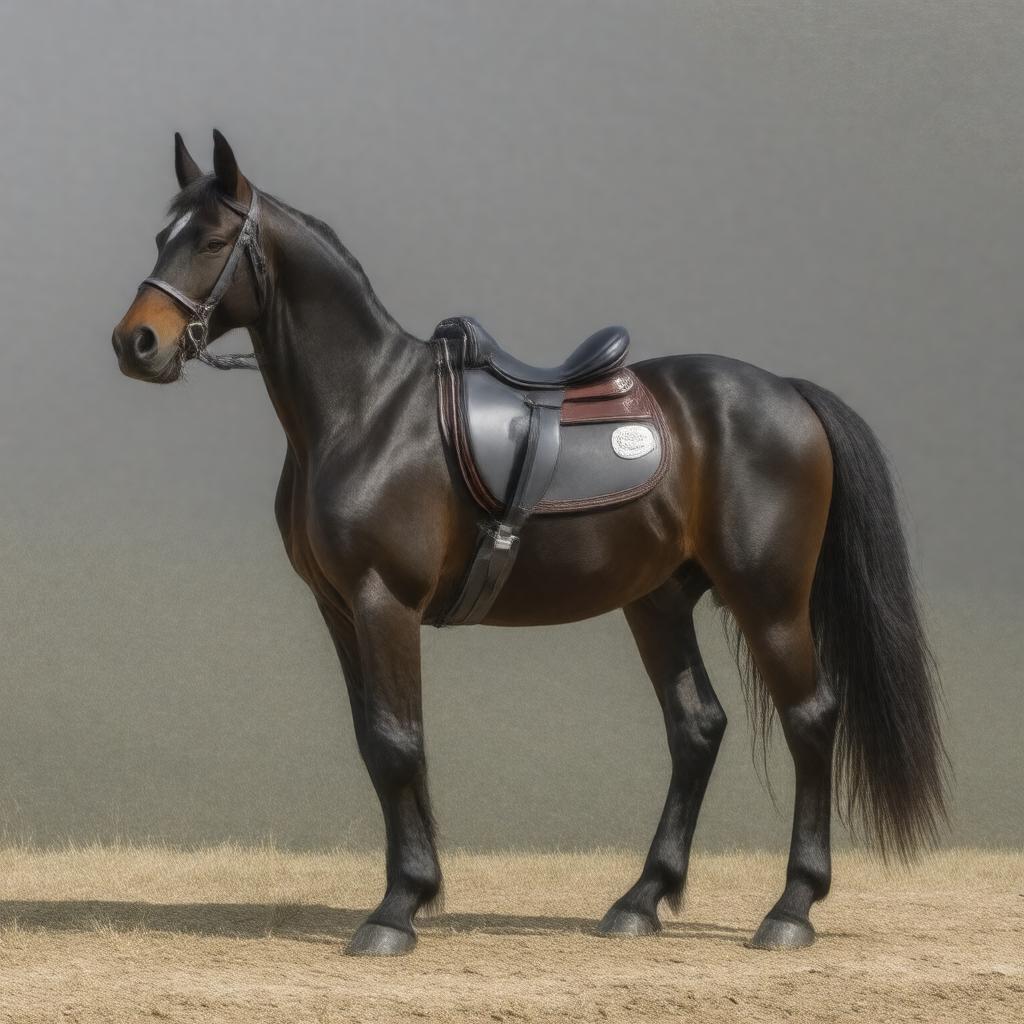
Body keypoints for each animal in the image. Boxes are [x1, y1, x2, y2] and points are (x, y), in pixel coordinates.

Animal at [111, 130, 946, 956]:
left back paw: (791, 908)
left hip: (768, 600)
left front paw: (398, 908)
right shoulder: (339, 608)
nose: (135, 342)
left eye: (212, 240)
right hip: (658, 602)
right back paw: (641, 900)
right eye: (160, 237)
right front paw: (410, 891)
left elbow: (397, 741)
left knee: (811, 718)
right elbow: (375, 745)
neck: (367, 411)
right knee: (697, 727)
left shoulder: (385, 602)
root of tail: (788, 394)